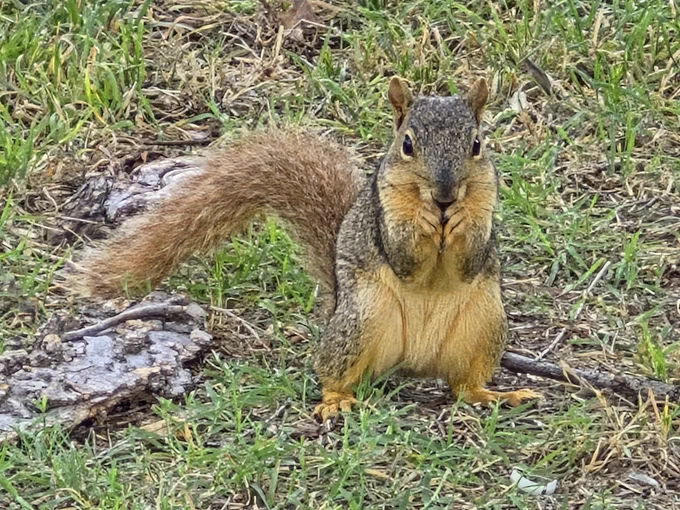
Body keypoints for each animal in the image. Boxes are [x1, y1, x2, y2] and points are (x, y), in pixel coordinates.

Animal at [72, 77, 539, 420]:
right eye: (407, 145)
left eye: (476, 145)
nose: (444, 194)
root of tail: (413, 366)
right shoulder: (382, 216)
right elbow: (405, 257)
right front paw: (421, 222)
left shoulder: (485, 209)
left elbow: (471, 257)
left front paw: (462, 220)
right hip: (361, 321)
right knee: (331, 373)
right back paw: (335, 401)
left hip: (483, 326)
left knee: (463, 386)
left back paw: (495, 395)